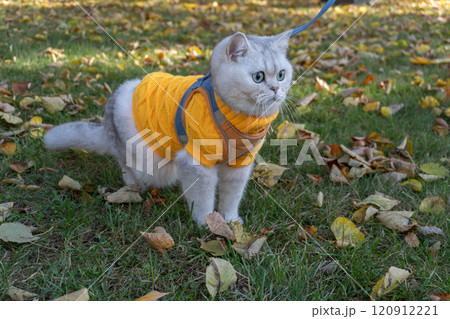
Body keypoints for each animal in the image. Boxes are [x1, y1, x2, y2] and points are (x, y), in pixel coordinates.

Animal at [44, 31, 294, 228]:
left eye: (282, 75)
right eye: (258, 77)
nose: (276, 89)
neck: (241, 118)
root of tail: (108, 114)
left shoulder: (239, 165)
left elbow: (232, 197)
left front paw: (230, 221)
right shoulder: (197, 163)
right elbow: (203, 200)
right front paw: (208, 224)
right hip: (143, 159)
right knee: (126, 166)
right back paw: (133, 188)